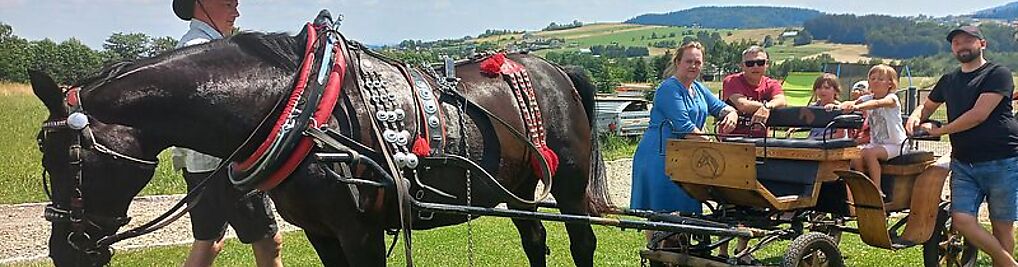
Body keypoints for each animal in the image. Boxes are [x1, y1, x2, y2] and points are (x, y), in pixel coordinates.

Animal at [31, 24, 606, 264]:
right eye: (45, 156)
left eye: (65, 160)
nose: (63, 252)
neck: (300, 110)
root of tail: (554, 69)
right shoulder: (320, 232)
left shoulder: (361, 232)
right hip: (518, 190)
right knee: (535, 240)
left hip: (568, 185)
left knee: (581, 243)